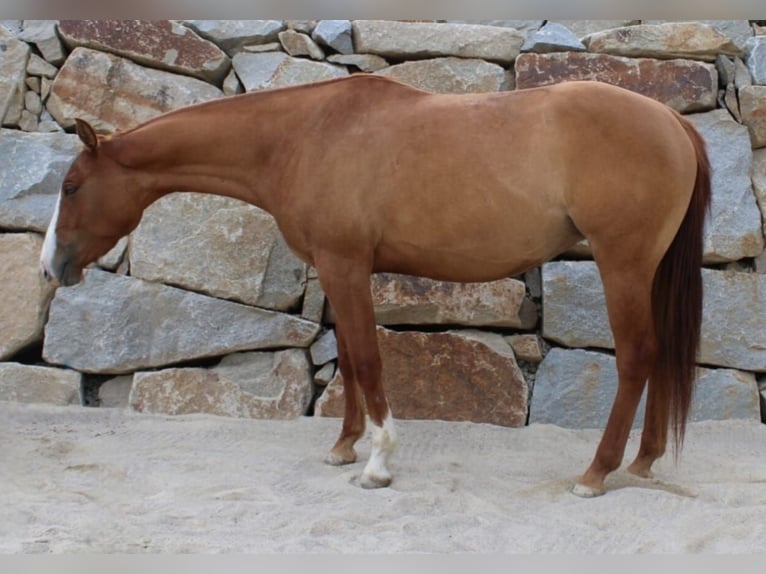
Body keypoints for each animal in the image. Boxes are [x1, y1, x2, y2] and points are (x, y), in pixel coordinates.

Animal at [40, 75, 711, 497]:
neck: (306, 135)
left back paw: (596, 473)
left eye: (72, 186)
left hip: (622, 264)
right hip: (645, 270)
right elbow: (347, 358)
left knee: (637, 357)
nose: (50, 267)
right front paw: (345, 446)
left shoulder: (344, 264)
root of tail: (671, 119)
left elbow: (365, 358)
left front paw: (378, 463)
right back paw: (644, 461)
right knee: (658, 357)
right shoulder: (340, 269)